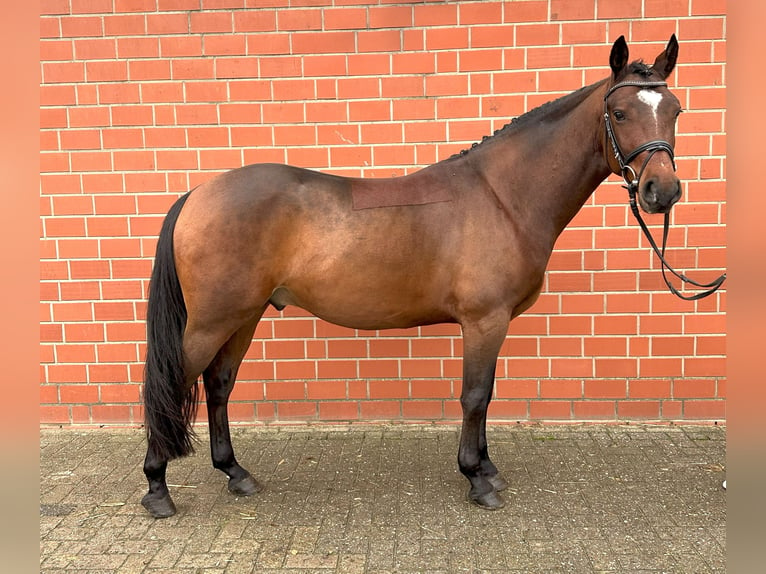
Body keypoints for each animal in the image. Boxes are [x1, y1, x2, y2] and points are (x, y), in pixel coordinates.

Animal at [142, 37, 684, 520]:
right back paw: (157, 489)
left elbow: (485, 396)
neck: (502, 196)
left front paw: (487, 468)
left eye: (676, 110)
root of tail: (198, 193)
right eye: (620, 114)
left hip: (245, 314)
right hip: (212, 320)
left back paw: (236, 474)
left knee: (219, 383)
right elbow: (475, 397)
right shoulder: (484, 321)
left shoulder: (493, 324)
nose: (662, 191)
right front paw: (477, 478)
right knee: (170, 385)